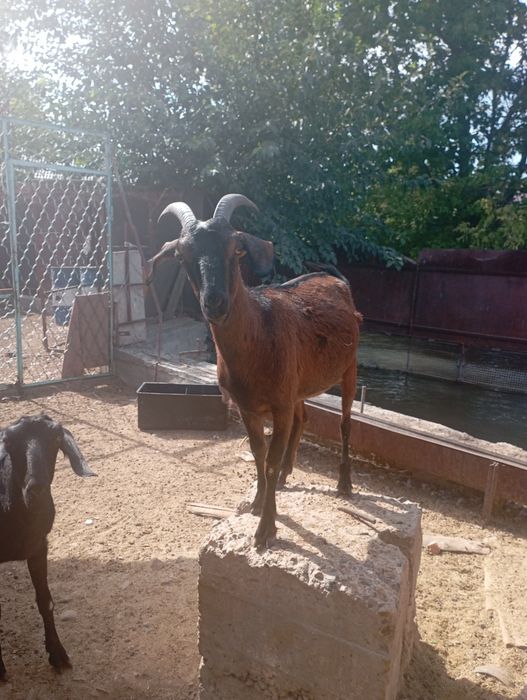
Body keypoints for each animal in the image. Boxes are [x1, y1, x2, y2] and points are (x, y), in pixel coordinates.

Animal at [0, 414, 95, 680]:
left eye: (55, 439)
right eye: (9, 442)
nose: (36, 489)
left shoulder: (39, 546)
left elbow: (46, 601)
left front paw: (58, 654)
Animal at [150, 194, 361, 547]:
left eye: (236, 248)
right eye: (181, 254)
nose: (215, 302)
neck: (258, 337)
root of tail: (338, 280)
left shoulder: (279, 405)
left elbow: (270, 460)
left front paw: (266, 529)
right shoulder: (248, 406)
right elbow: (258, 453)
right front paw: (258, 502)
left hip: (350, 367)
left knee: (346, 423)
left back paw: (344, 483)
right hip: (298, 386)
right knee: (304, 417)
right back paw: (289, 474)